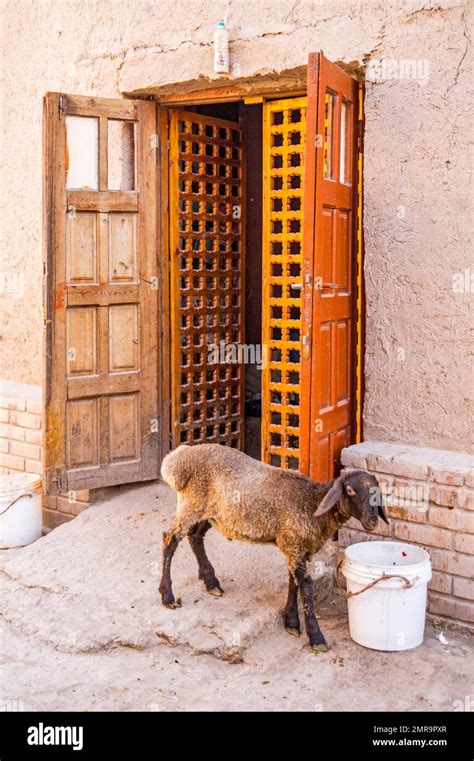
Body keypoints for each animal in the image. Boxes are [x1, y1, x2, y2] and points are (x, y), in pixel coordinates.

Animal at [159, 442, 388, 652]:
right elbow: (306, 585)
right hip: (191, 504)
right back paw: (167, 595)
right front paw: (316, 637)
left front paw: (291, 621)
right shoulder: (293, 545)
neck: (312, 502)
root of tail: (178, 458)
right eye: (349, 490)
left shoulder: (294, 548)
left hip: (212, 513)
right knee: (170, 540)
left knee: (195, 536)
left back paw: (211, 582)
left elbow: (293, 581)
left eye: (376, 492)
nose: (373, 520)